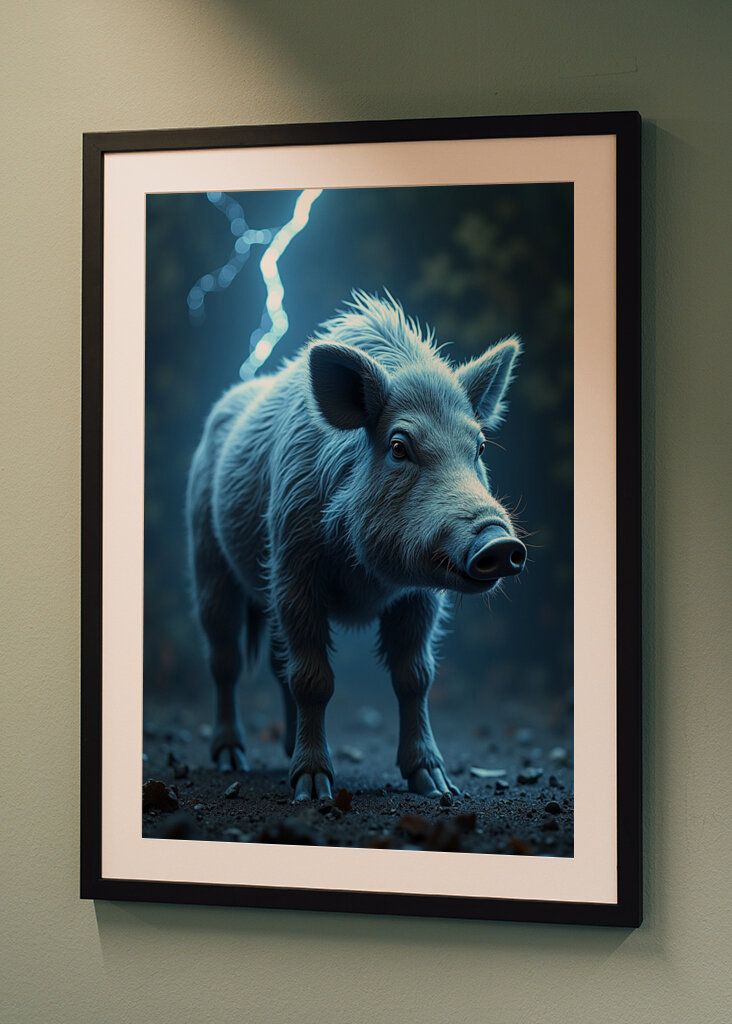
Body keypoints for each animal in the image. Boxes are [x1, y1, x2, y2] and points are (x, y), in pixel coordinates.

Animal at [187, 291, 526, 801]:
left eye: (480, 446)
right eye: (399, 446)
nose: (500, 541)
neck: (370, 578)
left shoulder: (419, 596)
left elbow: (415, 676)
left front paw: (437, 787)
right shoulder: (292, 566)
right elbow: (314, 679)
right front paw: (313, 791)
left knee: (276, 662)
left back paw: (284, 751)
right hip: (209, 561)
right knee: (224, 658)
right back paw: (232, 760)